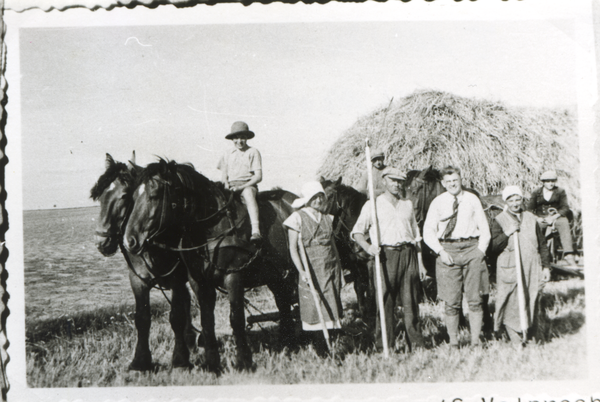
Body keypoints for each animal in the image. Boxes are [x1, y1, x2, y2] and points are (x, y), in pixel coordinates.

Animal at [90, 154, 196, 370]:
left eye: (124, 196)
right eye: (101, 197)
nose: (100, 242)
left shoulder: (177, 279)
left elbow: (176, 316)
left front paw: (180, 358)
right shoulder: (138, 281)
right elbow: (142, 318)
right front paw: (141, 360)